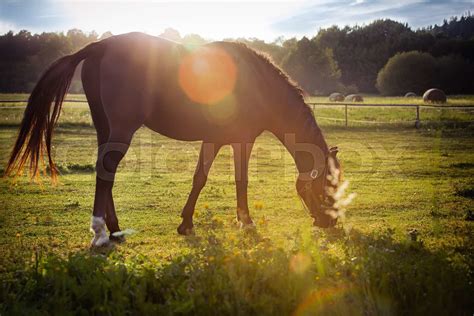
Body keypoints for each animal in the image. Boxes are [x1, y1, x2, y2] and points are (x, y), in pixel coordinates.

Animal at [5, 32, 342, 247]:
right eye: (328, 184)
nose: (329, 222)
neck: (258, 84)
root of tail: (101, 46)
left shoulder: (217, 141)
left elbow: (199, 178)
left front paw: (186, 223)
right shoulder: (241, 142)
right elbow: (239, 181)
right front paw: (245, 223)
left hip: (106, 129)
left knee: (106, 173)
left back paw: (115, 229)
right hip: (122, 129)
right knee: (106, 170)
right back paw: (100, 232)